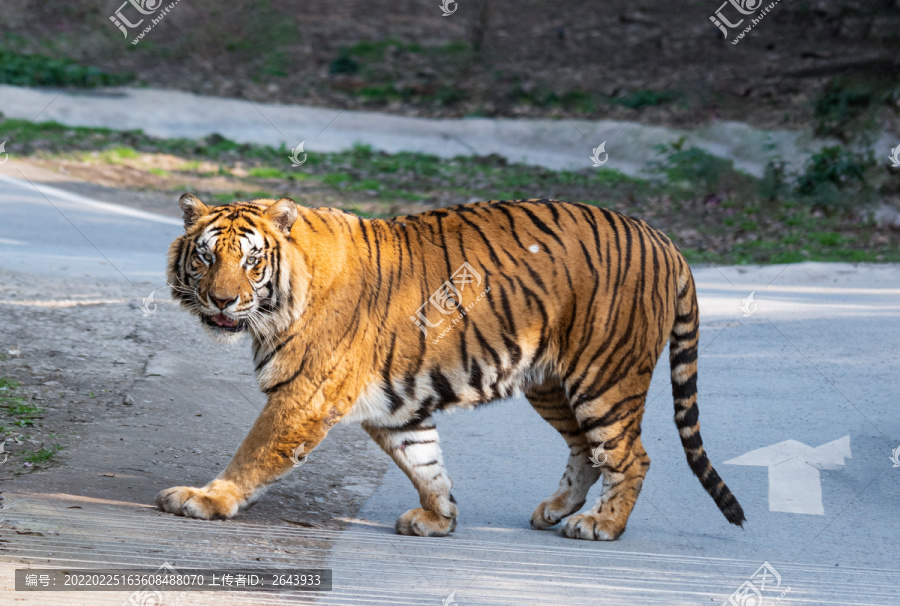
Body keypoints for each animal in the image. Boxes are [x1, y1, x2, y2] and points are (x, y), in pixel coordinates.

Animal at [156, 194, 744, 540]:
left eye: (250, 260)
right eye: (205, 257)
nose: (223, 301)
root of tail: (663, 239)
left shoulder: (304, 396)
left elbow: (253, 454)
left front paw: (206, 499)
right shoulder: (395, 408)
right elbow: (425, 462)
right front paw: (439, 518)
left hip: (605, 378)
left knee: (630, 456)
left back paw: (600, 524)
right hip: (551, 383)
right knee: (586, 449)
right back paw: (556, 510)